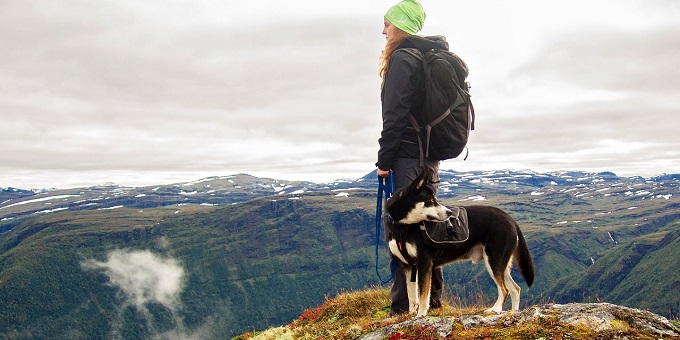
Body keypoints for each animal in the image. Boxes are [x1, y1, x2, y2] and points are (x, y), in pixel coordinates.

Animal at [386, 169, 532, 318]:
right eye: (431, 201)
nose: (449, 212)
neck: (402, 227)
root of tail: (510, 219)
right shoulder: (408, 266)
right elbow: (411, 296)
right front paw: (410, 315)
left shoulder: (424, 263)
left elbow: (423, 296)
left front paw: (421, 315)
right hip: (500, 263)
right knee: (515, 288)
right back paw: (513, 312)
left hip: (494, 260)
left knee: (505, 289)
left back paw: (495, 309)